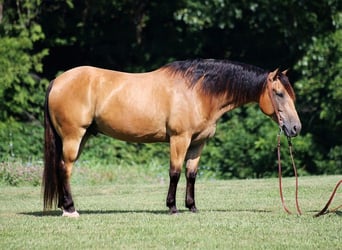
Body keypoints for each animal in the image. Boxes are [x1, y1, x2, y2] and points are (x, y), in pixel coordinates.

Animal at [43, 58, 302, 217]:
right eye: (278, 93)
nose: (295, 128)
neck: (198, 92)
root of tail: (58, 81)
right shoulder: (180, 139)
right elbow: (175, 172)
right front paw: (172, 207)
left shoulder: (198, 143)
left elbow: (191, 174)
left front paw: (192, 207)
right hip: (74, 136)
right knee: (65, 168)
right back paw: (70, 209)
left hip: (82, 137)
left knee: (61, 168)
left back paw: (64, 207)